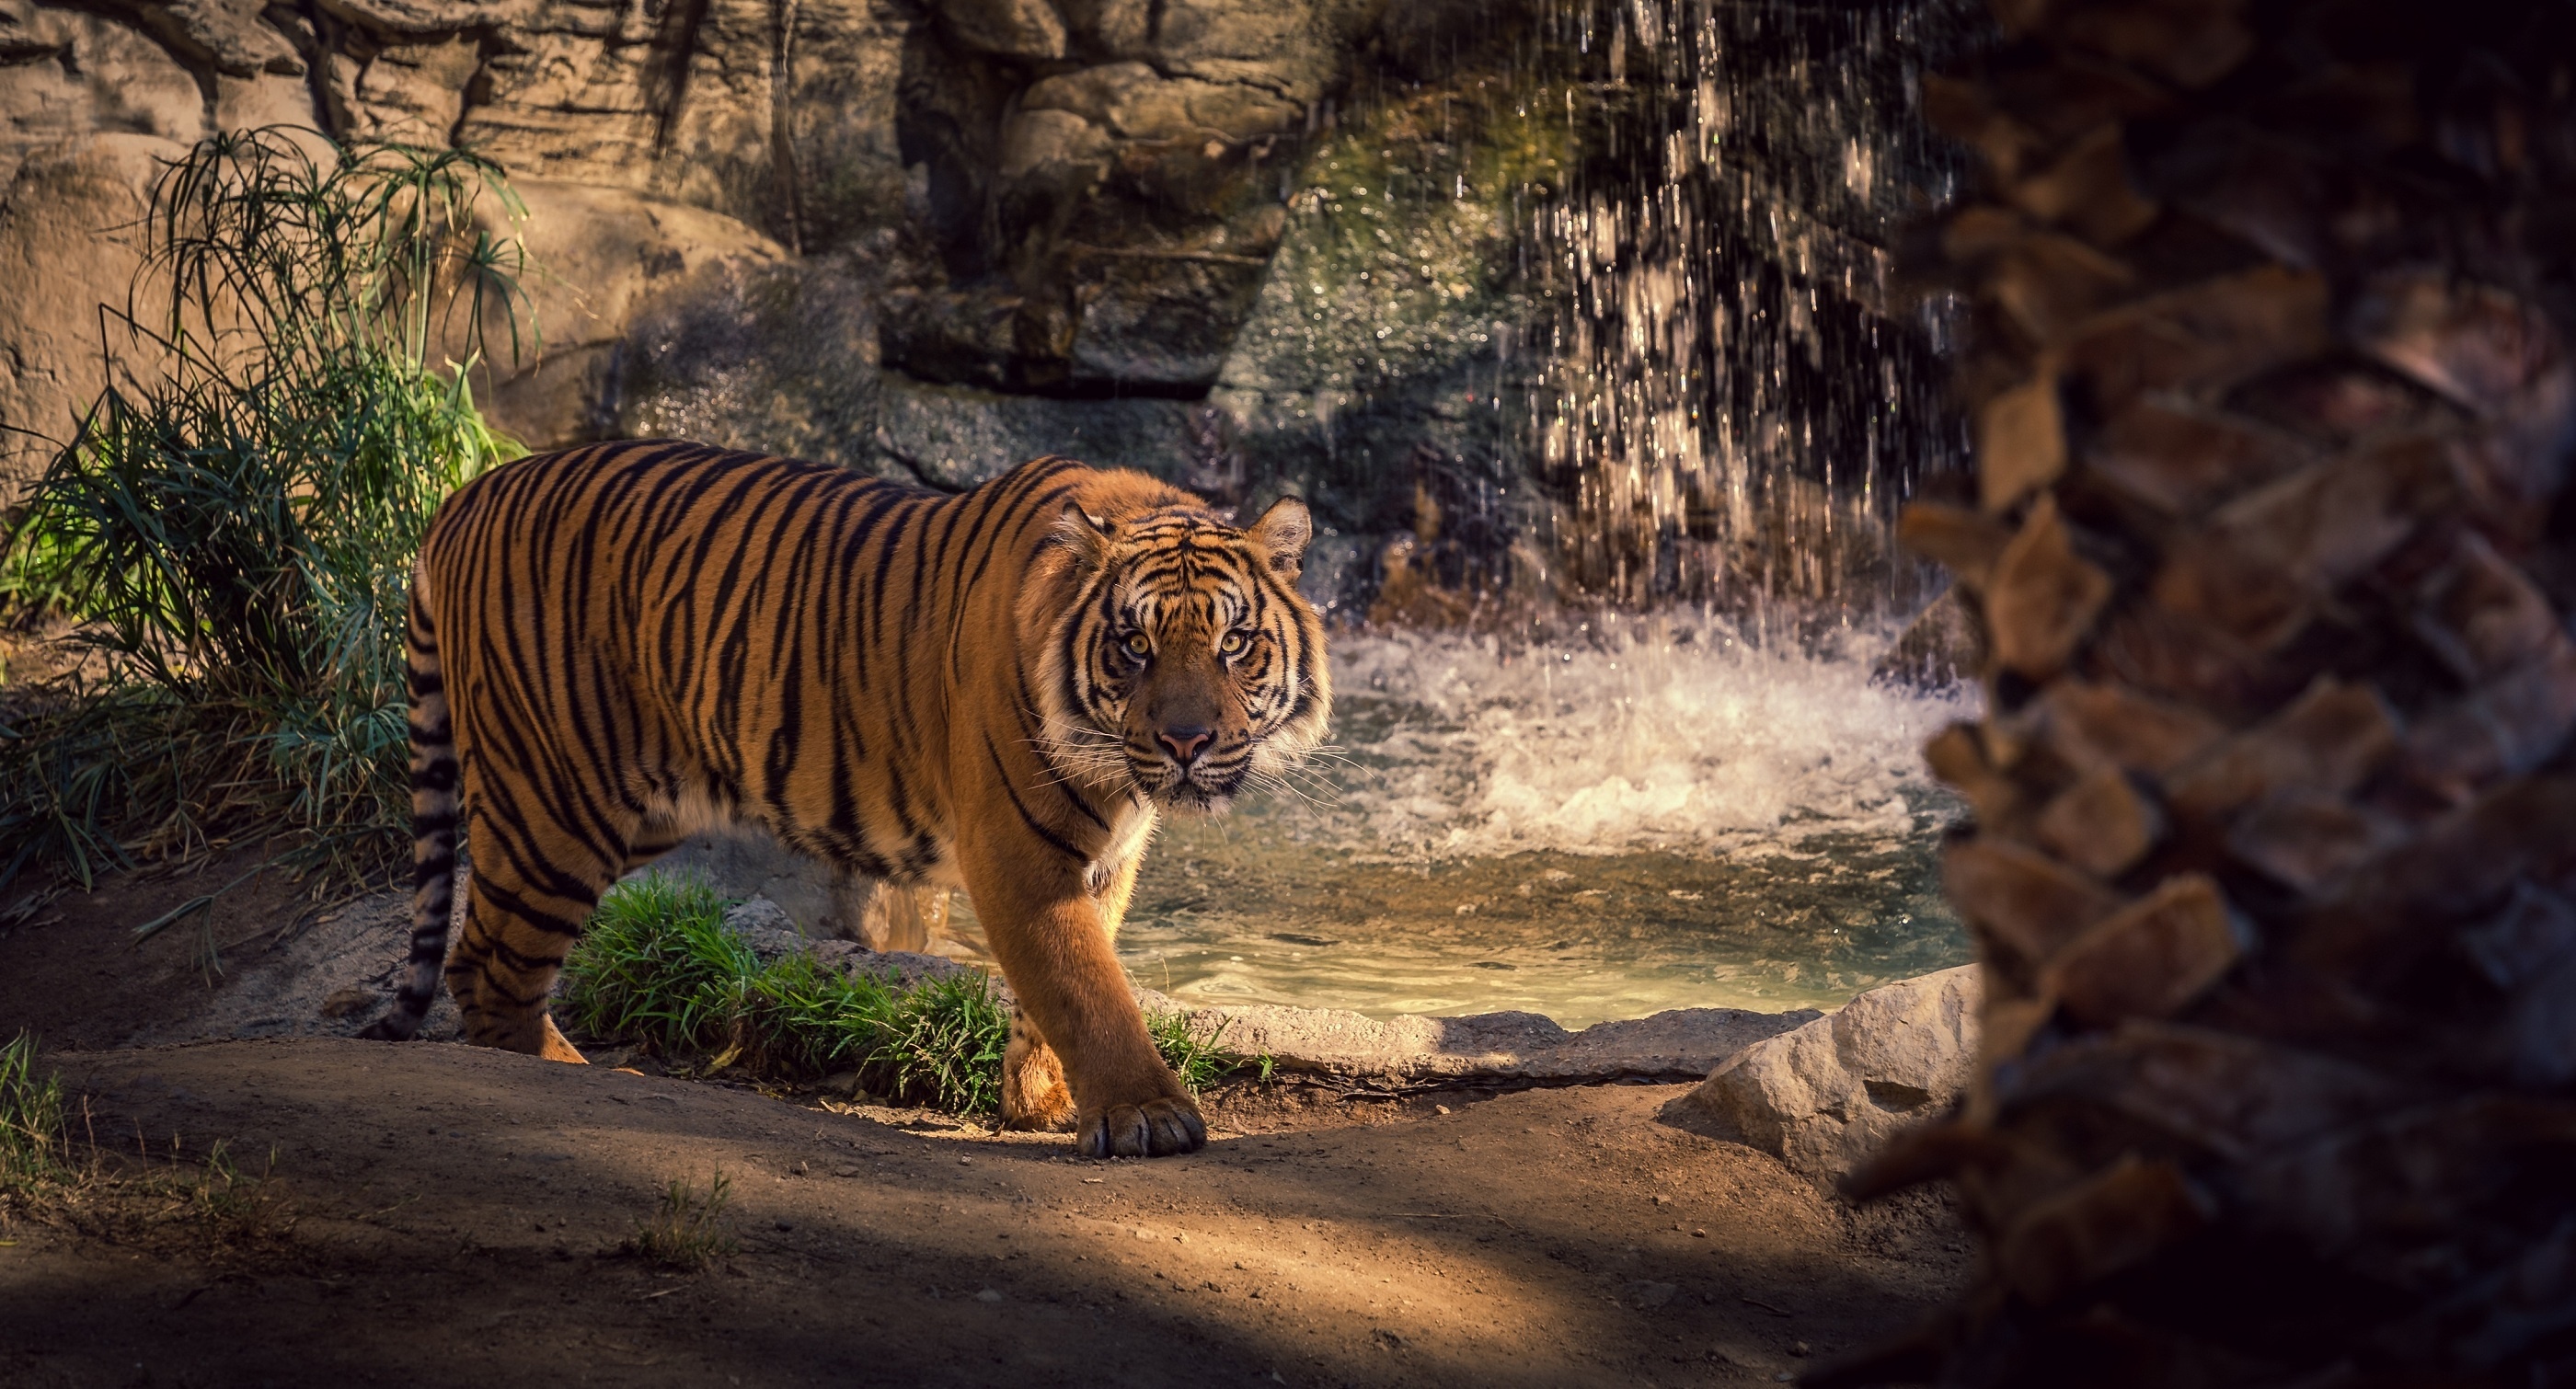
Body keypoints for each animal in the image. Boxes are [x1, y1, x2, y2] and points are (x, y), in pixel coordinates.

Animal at [361, 441, 1330, 1158]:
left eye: (1234, 641)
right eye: (1133, 645)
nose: (1185, 742)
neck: (1113, 768)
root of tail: (467, 493)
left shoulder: (1107, 858)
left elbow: (1065, 979)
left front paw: (1041, 1099)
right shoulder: (1017, 850)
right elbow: (1086, 982)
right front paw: (1144, 1115)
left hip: (634, 803)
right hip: (552, 803)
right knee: (489, 967)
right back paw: (578, 1075)